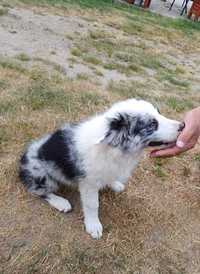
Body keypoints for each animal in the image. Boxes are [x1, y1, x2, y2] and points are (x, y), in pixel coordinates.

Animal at [19, 99, 184, 239]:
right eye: (152, 124)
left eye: (159, 113)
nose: (182, 126)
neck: (114, 148)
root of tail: (21, 164)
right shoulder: (88, 183)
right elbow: (92, 205)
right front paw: (93, 226)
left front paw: (115, 184)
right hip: (41, 174)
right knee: (38, 192)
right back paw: (61, 202)